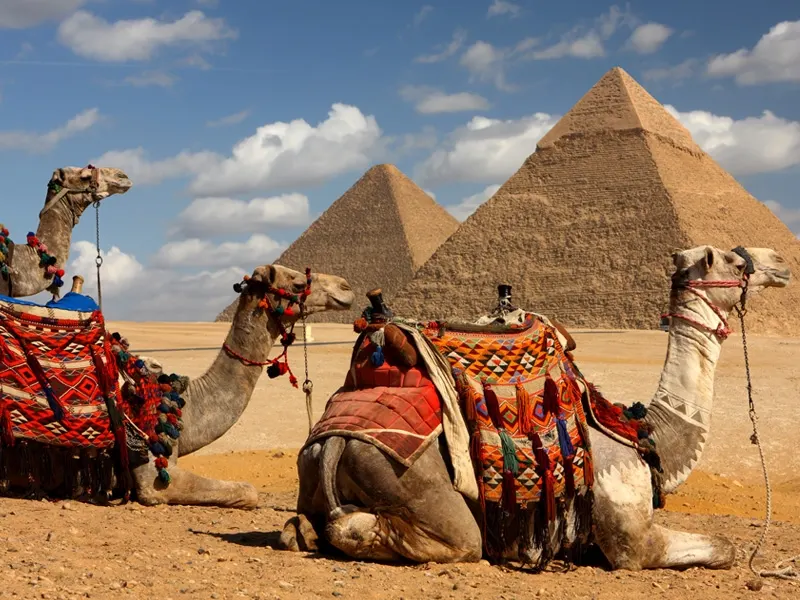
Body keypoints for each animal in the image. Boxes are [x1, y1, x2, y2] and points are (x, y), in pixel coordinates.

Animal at [280, 245, 790, 570]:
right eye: (731, 259)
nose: (782, 261)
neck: (643, 430)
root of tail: (333, 441)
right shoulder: (631, 540)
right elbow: (724, 547)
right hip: (413, 484)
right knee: (438, 539)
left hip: (311, 471)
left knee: (298, 527)